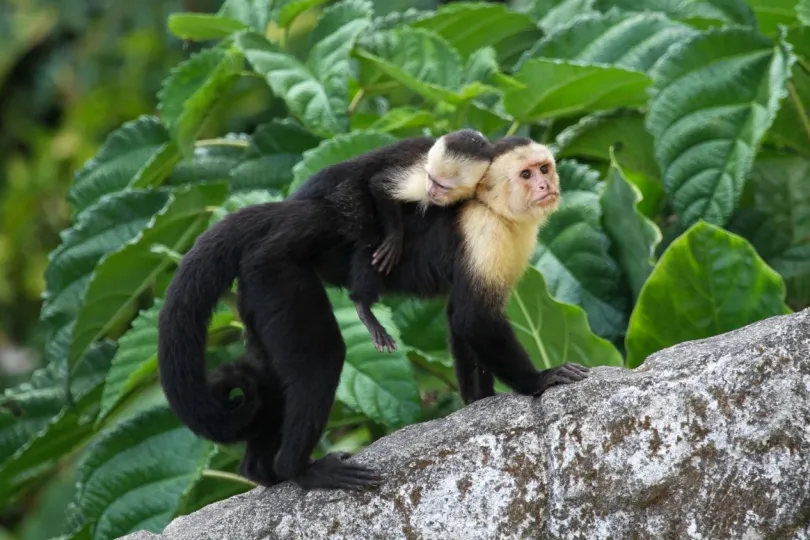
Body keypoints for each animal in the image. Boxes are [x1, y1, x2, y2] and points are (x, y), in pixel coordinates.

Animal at [324, 128, 492, 352]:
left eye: (442, 186)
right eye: (431, 178)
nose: (431, 191)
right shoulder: (420, 176)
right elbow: (379, 185)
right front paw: (395, 238)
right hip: (348, 196)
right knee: (369, 235)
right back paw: (363, 304)